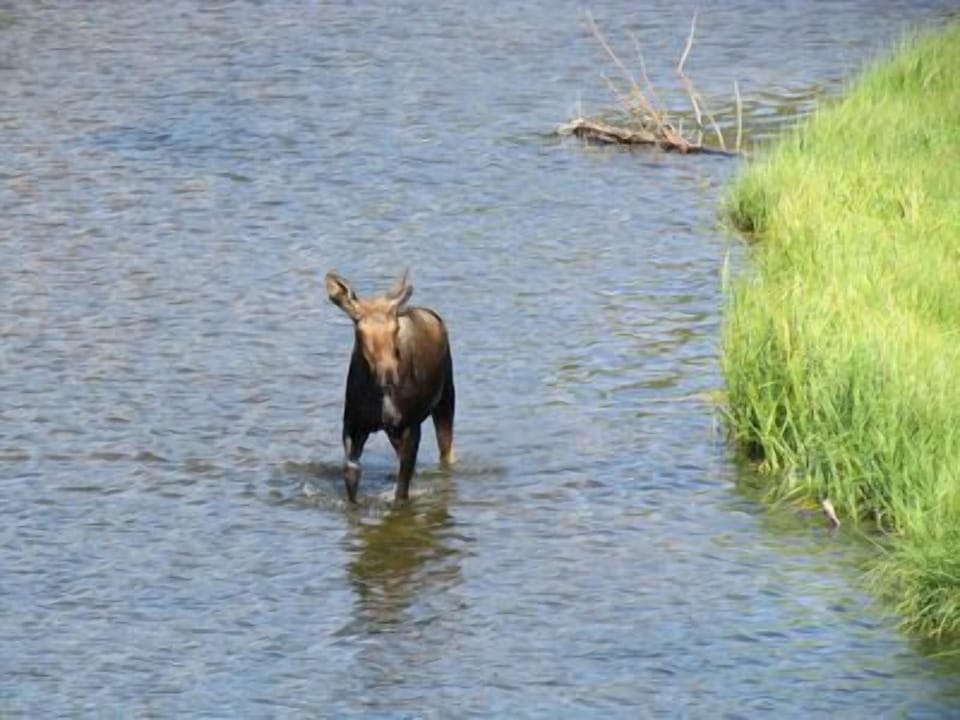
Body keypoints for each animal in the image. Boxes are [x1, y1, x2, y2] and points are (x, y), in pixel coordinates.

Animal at [326, 270, 455, 503]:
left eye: (395, 327)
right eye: (359, 329)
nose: (388, 373)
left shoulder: (410, 427)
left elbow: (401, 489)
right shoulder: (353, 425)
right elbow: (351, 474)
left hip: (445, 398)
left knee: (447, 453)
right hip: (393, 429)